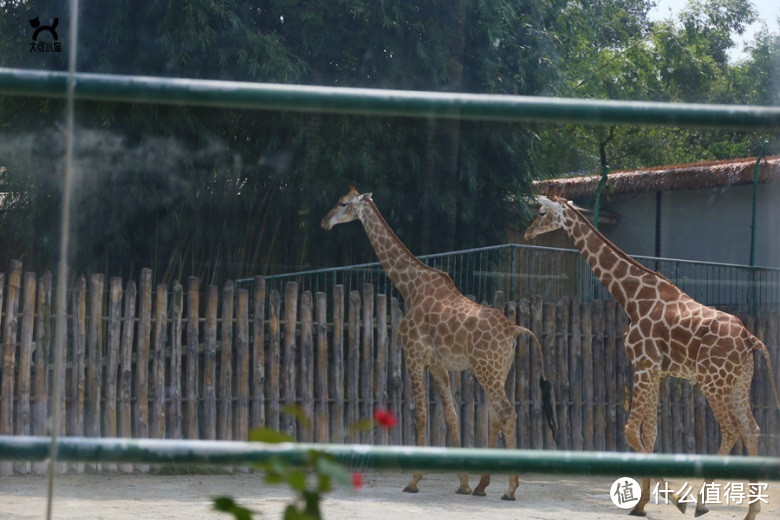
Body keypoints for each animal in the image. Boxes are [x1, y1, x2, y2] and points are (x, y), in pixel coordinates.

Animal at [322, 187, 560, 500]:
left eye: (343, 203)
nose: (324, 223)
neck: (410, 287)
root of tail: (513, 329)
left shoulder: (412, 354)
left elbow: (421, 415)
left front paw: (414, 480)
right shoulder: (438, 366)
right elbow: (450, 417)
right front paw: (463, 483)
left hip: (486, 370)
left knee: (508, 412)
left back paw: (508, 488)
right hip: (499, 371)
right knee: (497, 415)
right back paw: (482, 486)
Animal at [520, 195, 780, 520]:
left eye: (542, 212)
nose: (527, 233)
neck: (632, 298)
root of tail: (750, 339)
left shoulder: (644, 365)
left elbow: (631, 431)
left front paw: (674, 499)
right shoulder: (657, 370)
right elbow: (650, 433)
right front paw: (641, 504)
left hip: (713, 381)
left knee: (731, 429)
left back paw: (701, 503)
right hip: (739, 381)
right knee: (751, 428)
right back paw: (751, 510)